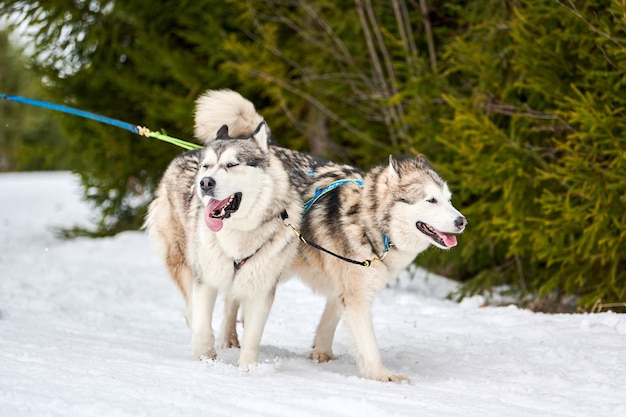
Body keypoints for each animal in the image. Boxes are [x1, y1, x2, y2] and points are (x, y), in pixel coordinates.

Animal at [144, 92, 304, 368]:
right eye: (206, 166)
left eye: (232, 164)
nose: (204, 183)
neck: (238, 234)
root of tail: (188, 151)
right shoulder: (205, 280)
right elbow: (201, 327)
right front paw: (206, 358)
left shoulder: (261, 289)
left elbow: (252, 339)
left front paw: (247, 370)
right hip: (183, 261)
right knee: (191, 309)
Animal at [212, 90, 466, 380]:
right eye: (431, 200)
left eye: (449, 200)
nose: (462, 221)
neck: (367, 223)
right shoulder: (356, 295)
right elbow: (368, 343)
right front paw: (382, 375)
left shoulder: (342, 285)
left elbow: (328, 323)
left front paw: (321, 355)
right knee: (231, 299)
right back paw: (228, 339)